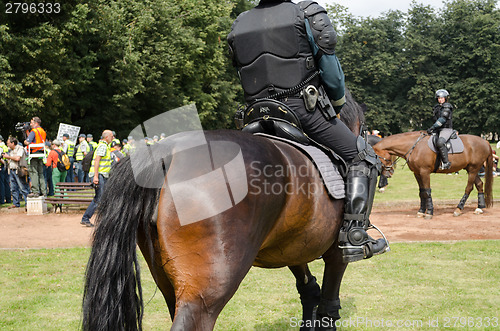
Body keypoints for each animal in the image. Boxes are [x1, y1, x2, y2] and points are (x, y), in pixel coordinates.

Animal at [81, 92, 364, 330]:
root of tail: (165, 152)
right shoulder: (337, 250)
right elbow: (329, 303)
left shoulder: (293, 242)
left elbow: (308, 287)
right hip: (206, 292)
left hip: (170, 283)